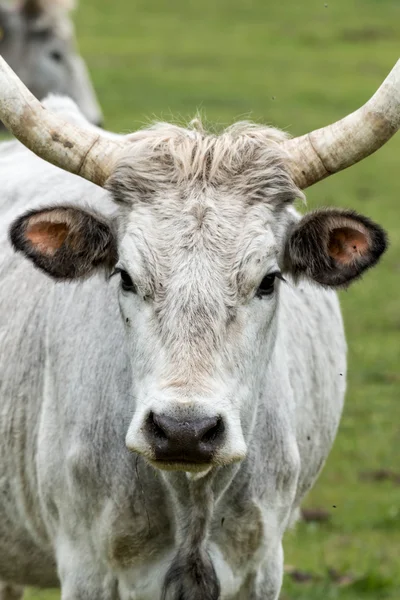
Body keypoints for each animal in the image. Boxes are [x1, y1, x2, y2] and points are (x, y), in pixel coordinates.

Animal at [0, 56, 398, 600]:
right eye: (125, 276)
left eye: (269, 280)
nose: (183, 431)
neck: (192, 495)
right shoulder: (87, 566)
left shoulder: (262, 565)